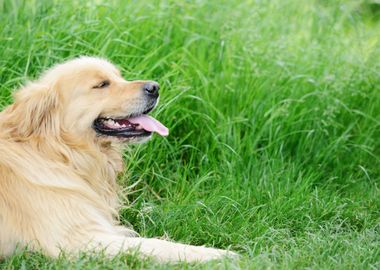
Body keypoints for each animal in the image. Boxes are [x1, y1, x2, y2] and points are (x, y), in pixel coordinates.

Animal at [0, 56, 235, 262]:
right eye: (102, 84)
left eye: (119, 76)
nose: (155, 87)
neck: (59, 153)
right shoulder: (78, 241)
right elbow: (158, 245)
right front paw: (219, 255)